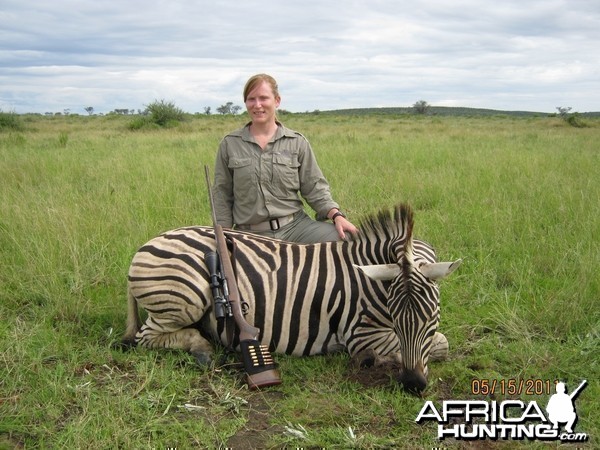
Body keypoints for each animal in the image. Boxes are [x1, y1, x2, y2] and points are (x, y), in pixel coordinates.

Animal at [120, 205, 460, 394]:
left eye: (431, 317)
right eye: (396, 317)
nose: (413, 385)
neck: (370, 282)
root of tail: (144, 245)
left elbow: (438, 343)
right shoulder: (360, 334)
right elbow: (441, 345)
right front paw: (372, 360)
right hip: (184, 296)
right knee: (147, 336)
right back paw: (201, 348)